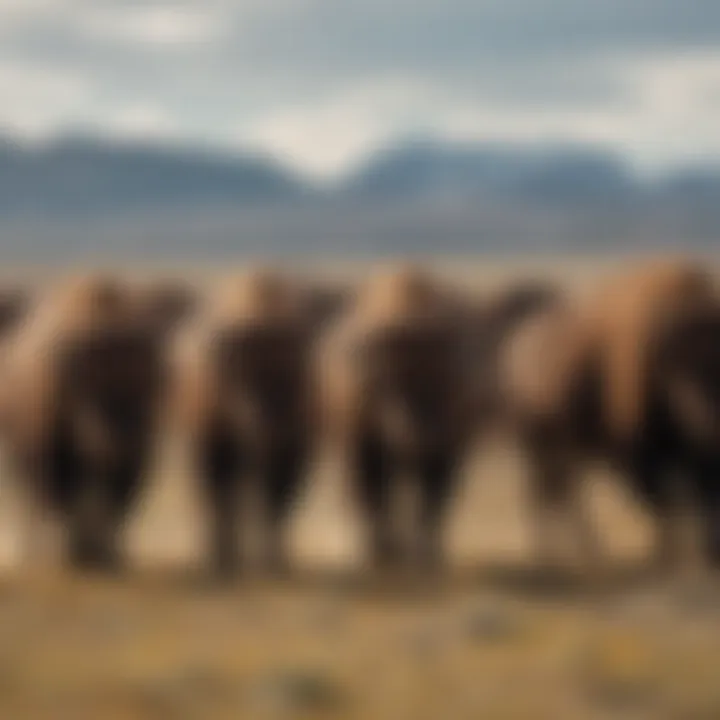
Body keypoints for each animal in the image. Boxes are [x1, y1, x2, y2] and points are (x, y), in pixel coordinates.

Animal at [0, 272, 174, 572]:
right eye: (87, 390)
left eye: (146, 389)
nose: (119, 439)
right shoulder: (47, 450)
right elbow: (56, 496)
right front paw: (66, 554)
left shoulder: (137, 453)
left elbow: (119, 501)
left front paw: (105, 555)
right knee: (37, 497)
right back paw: (38, 552)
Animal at [172, 268, 346, 576]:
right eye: (240, 383)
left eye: (298, 378)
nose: (270, 428)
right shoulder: (213, 442)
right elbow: (221, 497)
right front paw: (222, 561)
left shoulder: (295, 448)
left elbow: (278, 500)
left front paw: (275, 560)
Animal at [320, 264, 484, 572]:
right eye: (384, 383)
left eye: (443, 379)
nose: (419, 434)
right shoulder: (362, 446)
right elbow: (371, 496)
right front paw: (378, 553)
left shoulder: (447, 449)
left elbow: (432, 501)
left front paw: (425, 555)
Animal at [498, 258, 720, 580]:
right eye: (682, 372)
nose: (704, 416)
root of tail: (519, 347)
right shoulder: (635, 454)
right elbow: (662, 503)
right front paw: (667, 557)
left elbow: (700, 496)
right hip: (539, 445)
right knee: (545, 494)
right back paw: (558, 554)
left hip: (561, 450)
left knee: (561, 493)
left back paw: (586, 551)